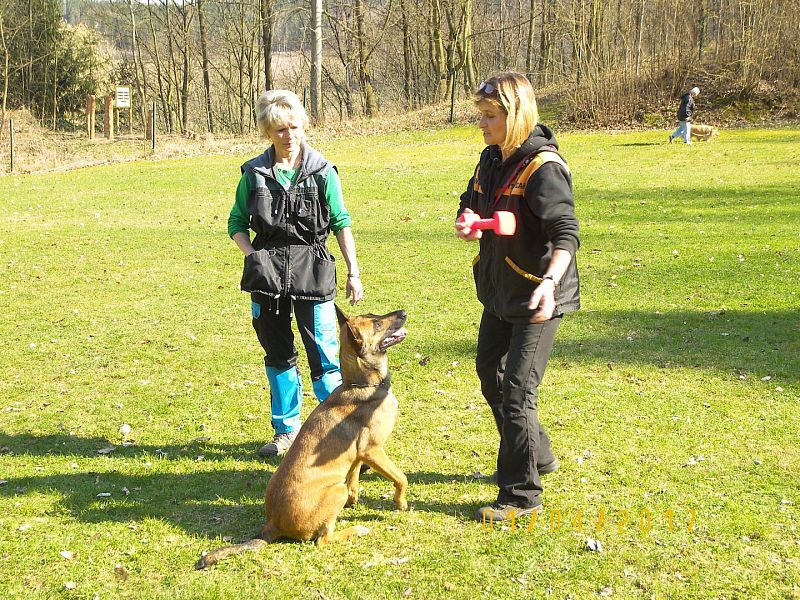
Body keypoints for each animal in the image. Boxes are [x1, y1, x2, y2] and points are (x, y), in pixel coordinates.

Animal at [193, 308, 406, 568]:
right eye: (376, 323)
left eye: (373, 314)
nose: (404, 312)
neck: (361, 384)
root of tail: (272, 524)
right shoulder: (373, 450)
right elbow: (401, 478)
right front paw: (400, 502)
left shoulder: (358, 453)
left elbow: (354, 476)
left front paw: (355, 498)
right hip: (335, 490)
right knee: (322, 540)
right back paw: (355, 530)